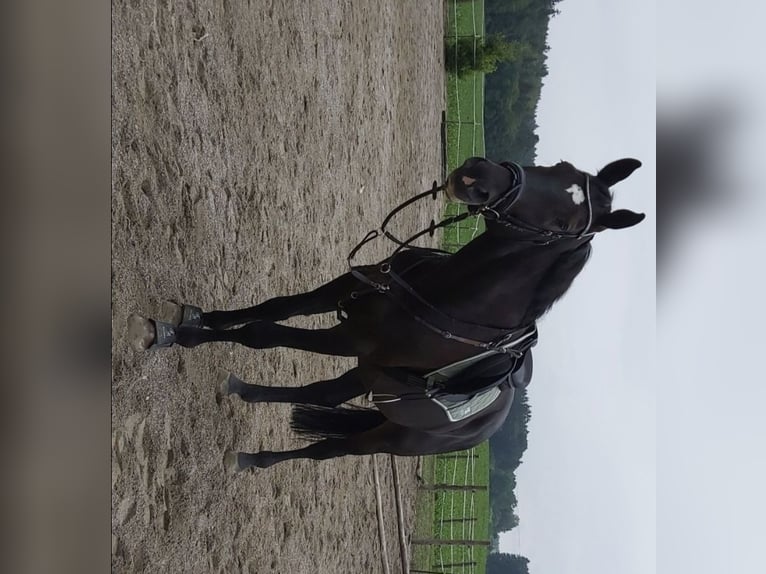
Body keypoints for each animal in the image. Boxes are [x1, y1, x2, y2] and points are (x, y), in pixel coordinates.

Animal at [128, 156, 645, 471]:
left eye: (563, 223)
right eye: (559, 166)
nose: (476, 176)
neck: (451, 296)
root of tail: (489, 426)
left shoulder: (353, 339)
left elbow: (261, 332)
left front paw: (170, 333)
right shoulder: (352, 289)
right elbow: (277, 307)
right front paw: (192, 318)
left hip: (390, 436)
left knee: (328, 449)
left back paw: (257, 460)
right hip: (372, 375)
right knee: (323, 394)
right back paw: (245, 391)